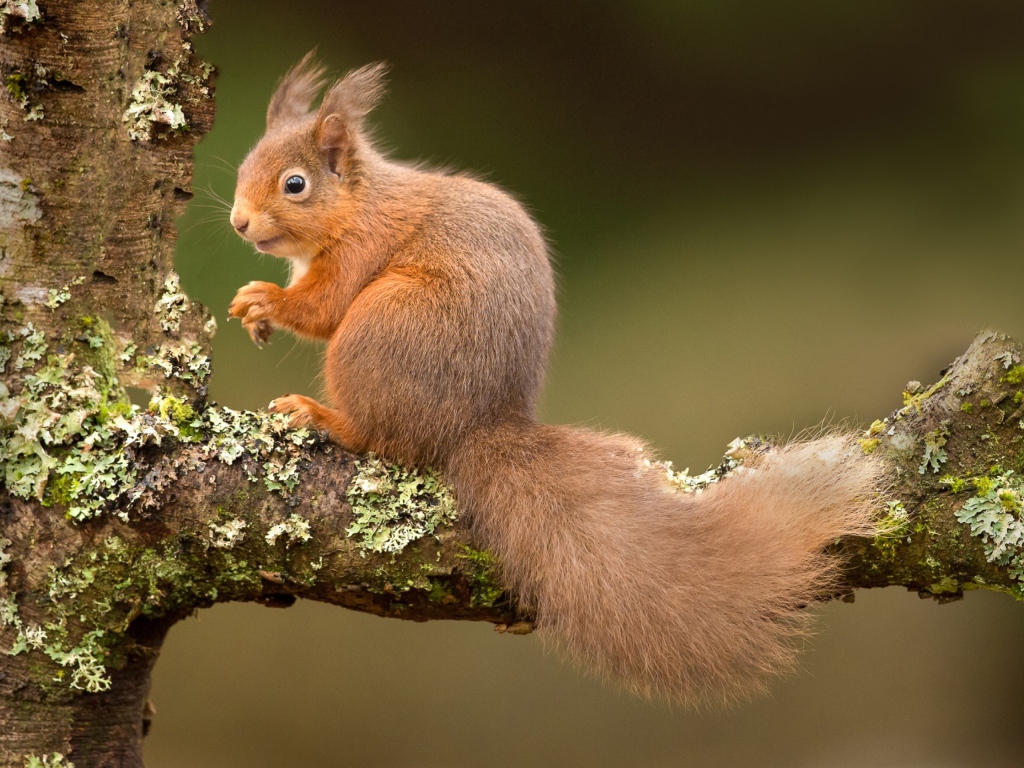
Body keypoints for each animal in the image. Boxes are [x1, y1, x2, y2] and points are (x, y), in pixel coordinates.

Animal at [228, 52, 884, 704]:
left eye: (295, 184)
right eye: (241, 168)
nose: (238, 223)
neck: (359, 203)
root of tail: (475, 426)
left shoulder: (362, 247)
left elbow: (323, 307)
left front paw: (263, 301)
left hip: (378, 332)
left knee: (377, 436)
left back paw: (321, 415)